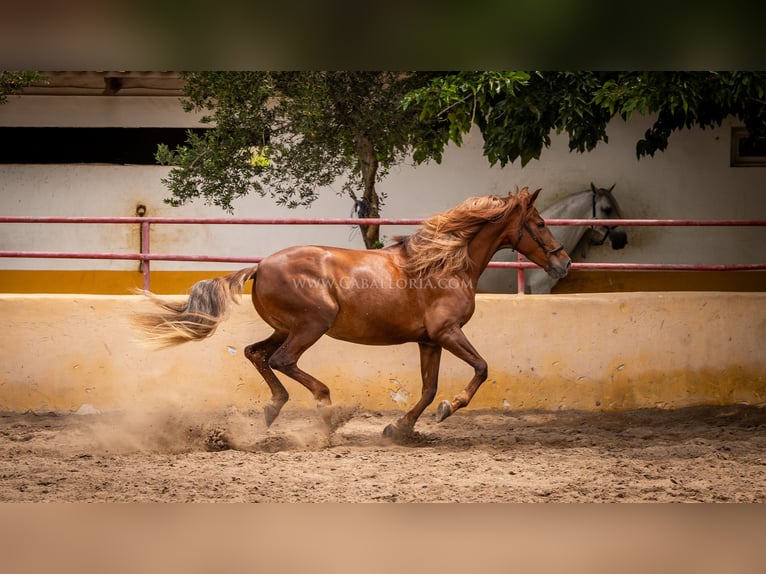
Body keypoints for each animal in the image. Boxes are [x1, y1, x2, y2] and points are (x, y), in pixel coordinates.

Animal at [135, 187, 572, 438]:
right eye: (539, 223)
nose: (564, 263)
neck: (446, 263)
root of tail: (259, 266)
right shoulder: (448, 333)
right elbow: (480, 369)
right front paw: (449, 409)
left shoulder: (429, 341)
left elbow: (428, 389)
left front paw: (399, 429)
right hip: (312, 324)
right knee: (281, 360)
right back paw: (325, 410)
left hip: (285, 327)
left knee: (256, 353)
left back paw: (272, 410)